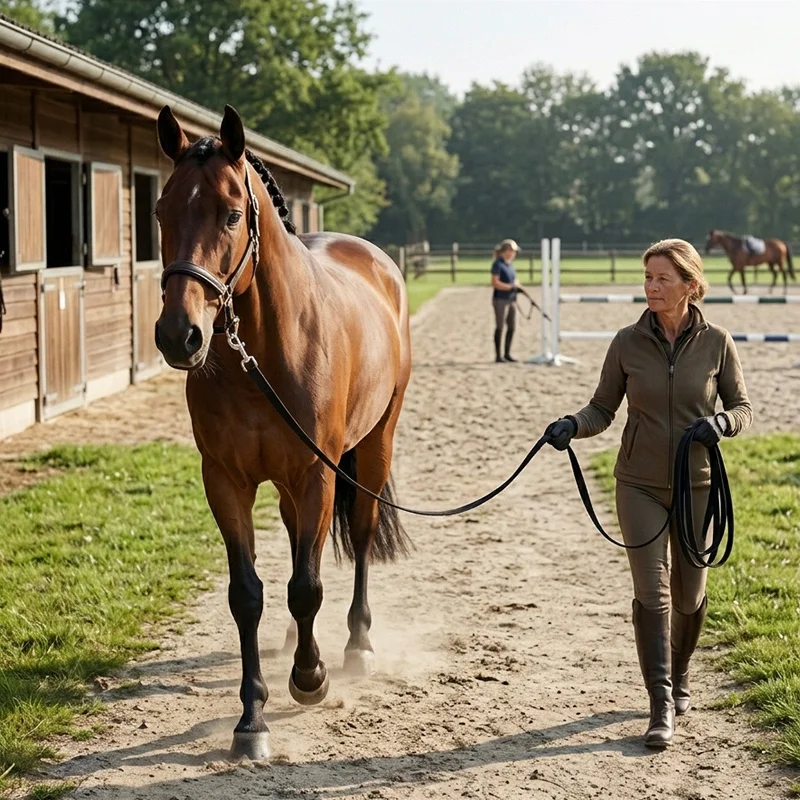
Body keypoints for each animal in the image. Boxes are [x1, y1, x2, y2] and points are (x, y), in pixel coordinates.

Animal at [153, 105, 412, 760]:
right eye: (161, 211)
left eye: (231, 214)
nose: (179, 335)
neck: (264, 355)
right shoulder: (226, 481)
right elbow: (249, 593)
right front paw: (252, 718)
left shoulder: (318, 472)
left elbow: (308, 585)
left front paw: (311, 679)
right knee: (300, 544)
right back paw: (299, 644)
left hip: (371, 448)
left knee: (359, 539)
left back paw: (355, 647)